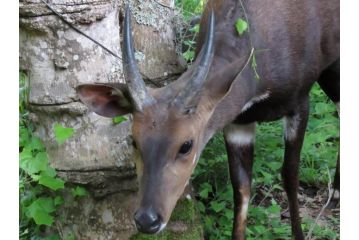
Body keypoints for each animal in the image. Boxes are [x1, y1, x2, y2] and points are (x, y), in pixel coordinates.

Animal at [76, 0, 340, 239]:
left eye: (186, 145)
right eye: (134, 141)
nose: (147, 220)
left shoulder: (299, 103)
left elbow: (290, 174)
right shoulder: (239, 122)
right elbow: (241, 188)